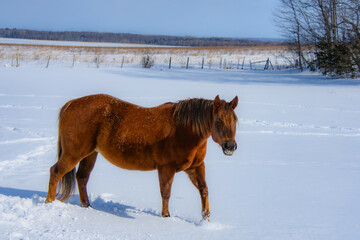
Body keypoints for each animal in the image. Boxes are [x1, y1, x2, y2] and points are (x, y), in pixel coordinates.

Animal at [45, 93, 239, 219]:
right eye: (218, 120)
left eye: (234, 120)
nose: (230, 146)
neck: (183, 130)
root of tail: (72, 103)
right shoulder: (166, 168)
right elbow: (166, 193)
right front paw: (166, 217)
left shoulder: (196, 167)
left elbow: (204, 190)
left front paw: (206, 219)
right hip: (74, 154)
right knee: (55, 172)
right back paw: (49, 202)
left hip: (90, 155)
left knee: (82, 177)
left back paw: (87, 206)